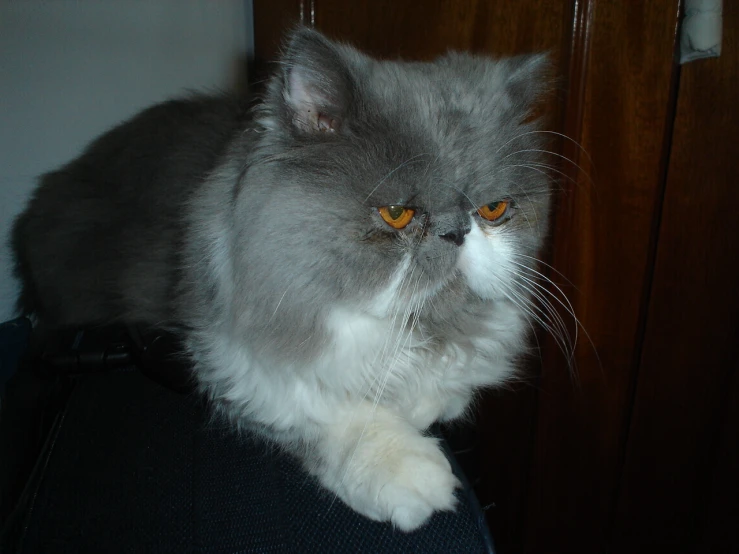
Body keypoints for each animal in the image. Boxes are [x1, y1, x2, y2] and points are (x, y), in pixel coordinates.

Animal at [10, 27, 556, 532]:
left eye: (494, 210)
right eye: (397, 214)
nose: (457, 231)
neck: (411, 330)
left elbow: (448, 384)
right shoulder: (237, 365)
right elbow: (330, 413)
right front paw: (410, 471)